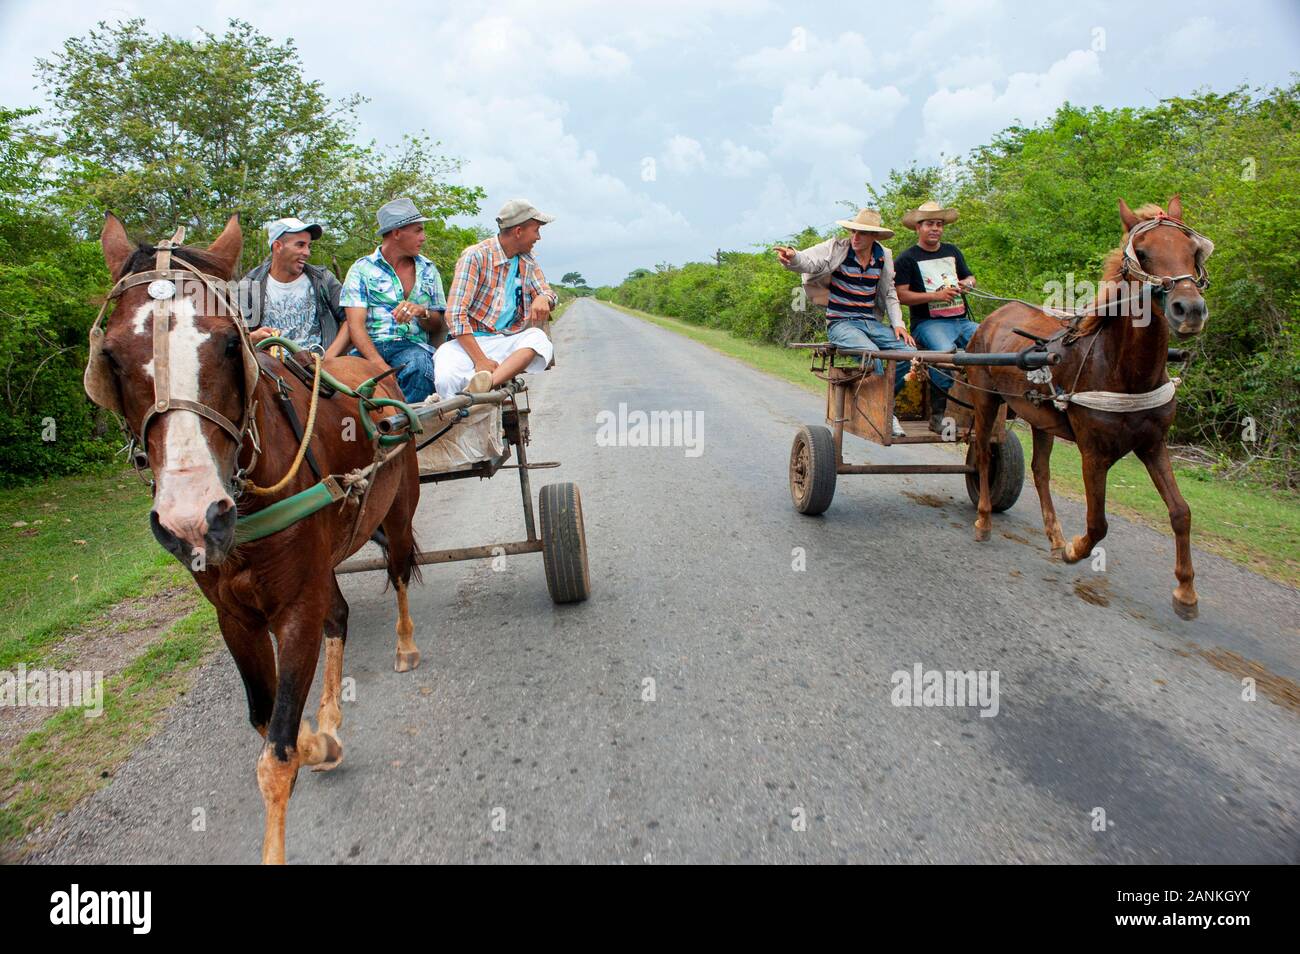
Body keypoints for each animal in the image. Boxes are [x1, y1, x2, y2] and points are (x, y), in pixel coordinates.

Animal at [89, 218, 423, 868]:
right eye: (110, 357)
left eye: (226, 344)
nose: (193, 518)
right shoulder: (235, 616)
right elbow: (267, 722)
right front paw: (322, 739)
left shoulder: (294, 606)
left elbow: (277, 756)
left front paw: (310, 747)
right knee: (339, 615)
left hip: (397, 509)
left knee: (398, 572)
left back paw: (404, 645)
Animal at [967, 197, 1206, 623]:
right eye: (1142, 252)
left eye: (1193, 250)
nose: (1189, 309)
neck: (1122, 369)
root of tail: (994, 316)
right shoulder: (1093, 452)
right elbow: (1097, 524)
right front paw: (1075, 549)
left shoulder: (1153, 444)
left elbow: (1181, 512)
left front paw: (1185, 590)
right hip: (986, 399)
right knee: (982, 454)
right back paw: (984, 519)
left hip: (1039, 415)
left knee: (1040, 471)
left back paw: (1053, 533)